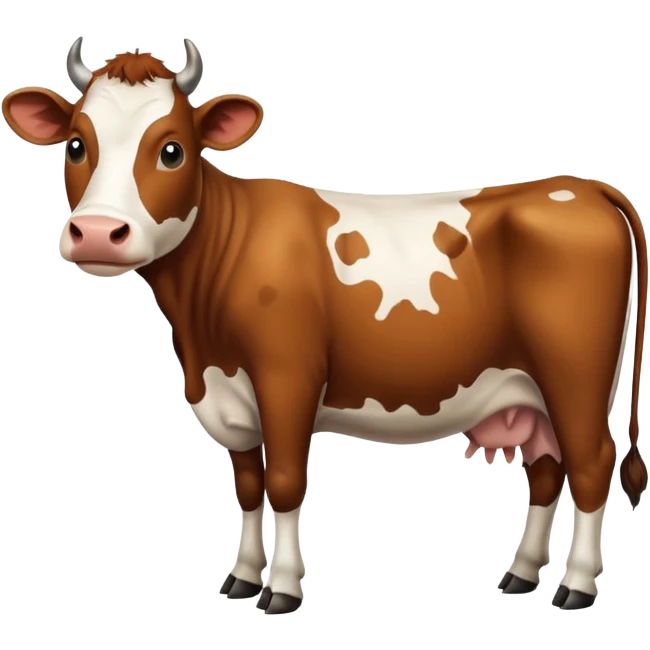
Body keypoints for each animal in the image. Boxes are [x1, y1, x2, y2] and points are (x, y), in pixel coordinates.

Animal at [2, 36, 647, 615]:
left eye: (172, 150)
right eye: (77, 145)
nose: (96, 233)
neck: (200, 337)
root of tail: (575, 185)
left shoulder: (287, 378)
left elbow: (286, 482)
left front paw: (283, 590)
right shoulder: (230, 395)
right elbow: (249, 487)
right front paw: (241, 578)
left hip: (575, 377)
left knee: (592, 465)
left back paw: (576, 587)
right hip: (529, 392)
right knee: (547, 468)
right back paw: (520, 574)